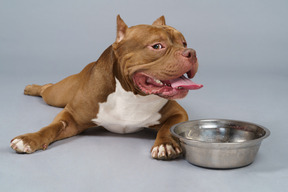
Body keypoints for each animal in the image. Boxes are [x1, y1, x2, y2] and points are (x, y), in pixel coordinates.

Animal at [9, 15, 202, 160]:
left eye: (184, 43)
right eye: (157, 46)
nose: (191, 52)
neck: (131, 95)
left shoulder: (178, 113)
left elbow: (167, 127)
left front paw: (165, 144)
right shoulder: (71, 118)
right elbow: (51, 127)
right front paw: (29, 139)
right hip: (57, 96)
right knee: (47, 88)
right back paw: (32, 88)